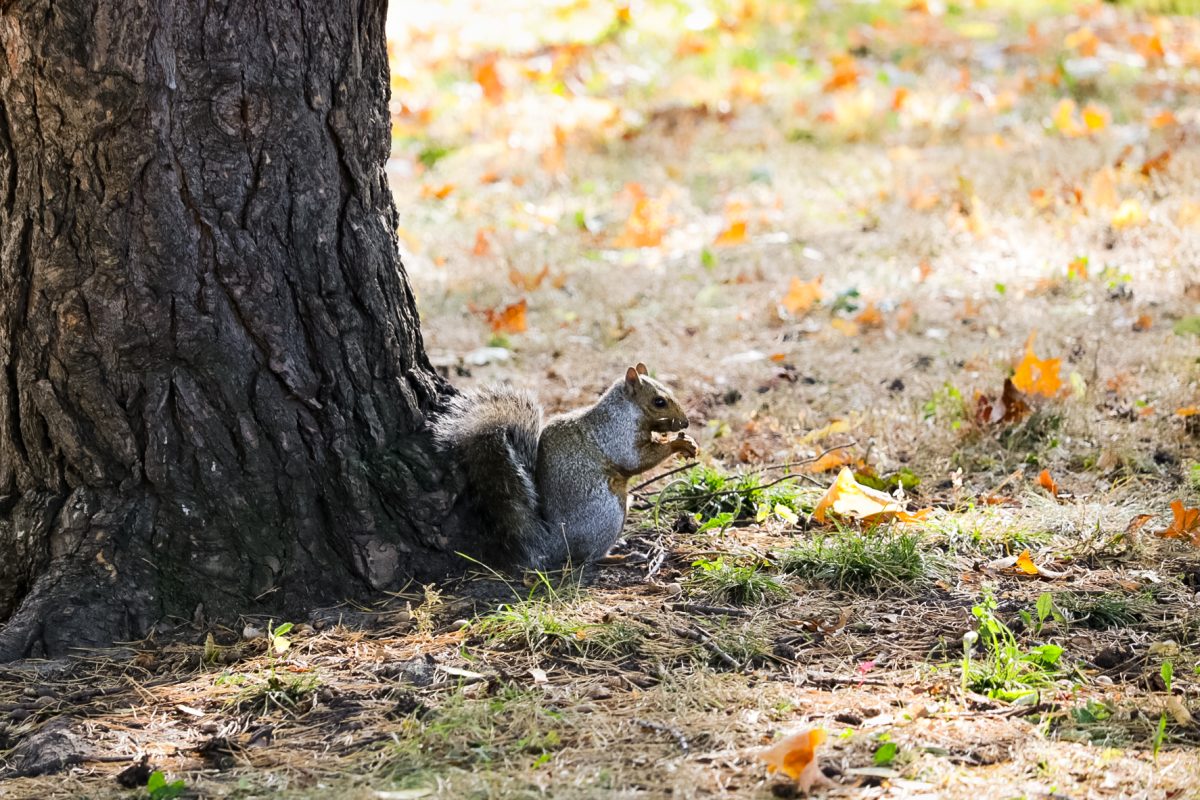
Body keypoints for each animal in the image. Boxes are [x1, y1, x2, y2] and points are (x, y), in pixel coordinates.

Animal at [432, 362, 696, 568]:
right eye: (659, 402)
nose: (685, 422)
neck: (626, 410)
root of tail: (556, 544)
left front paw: (687, 442)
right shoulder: (615, 435)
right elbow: (635, 460)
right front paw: (677, 443)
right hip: (609, 513)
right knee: (589, 558)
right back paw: (620, 556)